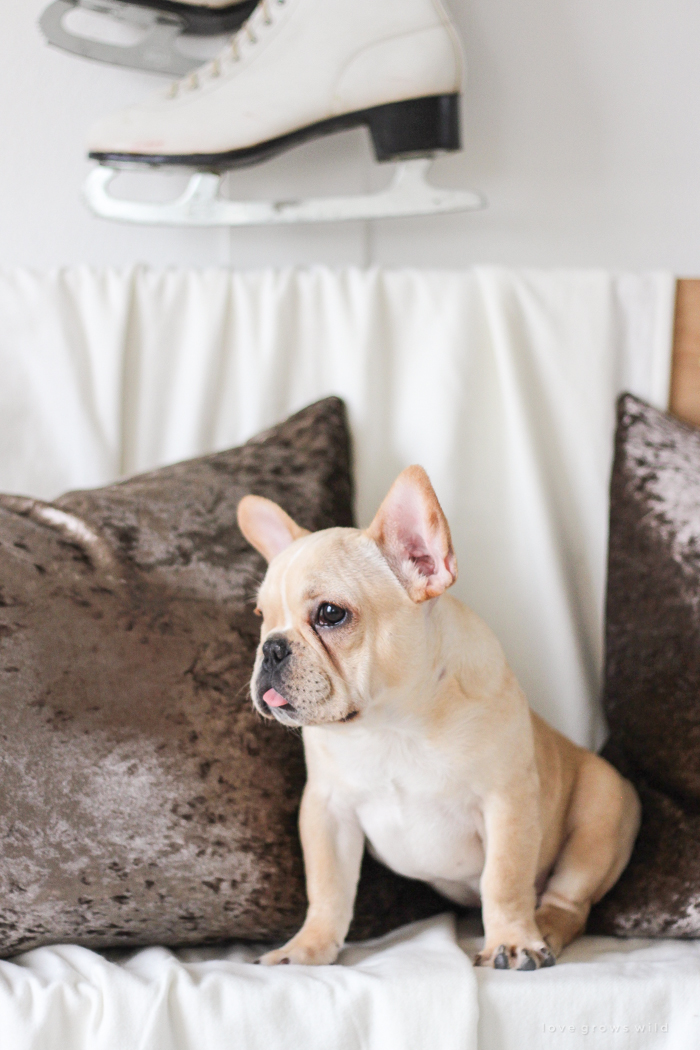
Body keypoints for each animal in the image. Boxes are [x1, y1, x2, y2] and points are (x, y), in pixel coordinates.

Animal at [238, 468, 642, 965]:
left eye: (331, 614)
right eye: (261, 615)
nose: (270, 647)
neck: (390, 724)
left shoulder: (505, 800)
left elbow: (504, 879)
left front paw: (510, 939)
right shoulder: (327, 810)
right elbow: (328, 888)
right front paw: (306, 947)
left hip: (601, 812)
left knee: (570, 900)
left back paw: (544, 928)